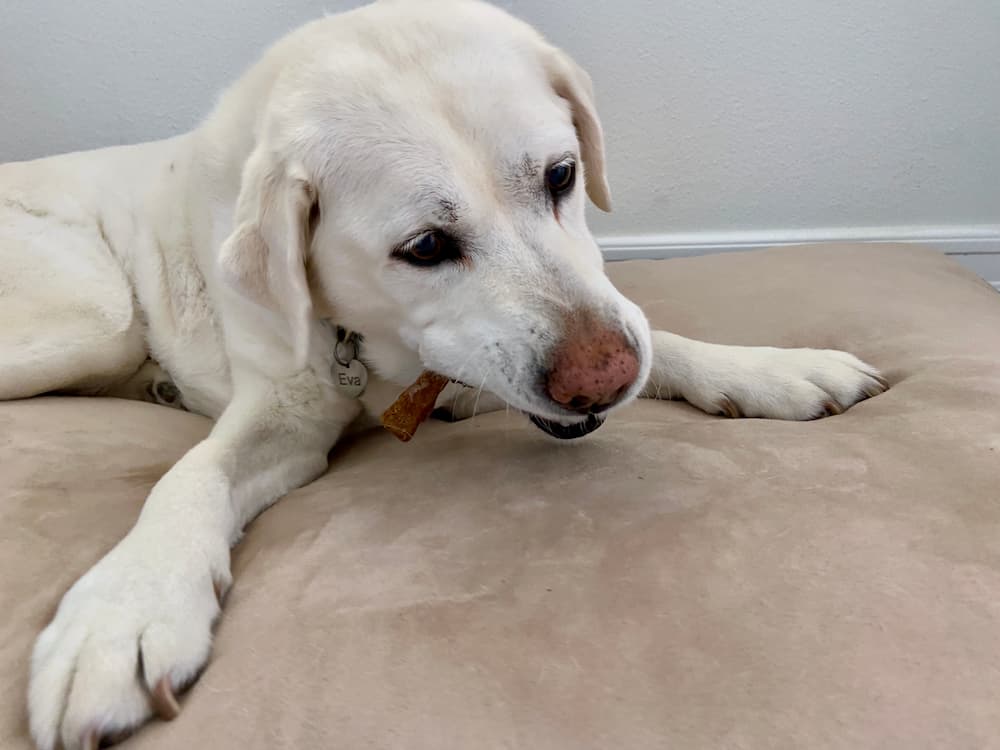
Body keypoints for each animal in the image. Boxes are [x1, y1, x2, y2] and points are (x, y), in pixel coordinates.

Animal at [1, 2, 892, 748]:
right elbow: (190, 476)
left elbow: (661, 337)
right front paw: (124, 609)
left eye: (562, 175)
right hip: (95, 320)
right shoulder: (282, 411)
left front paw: (770, 367)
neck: (377, 347)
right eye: (425, 247)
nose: (602, 378)